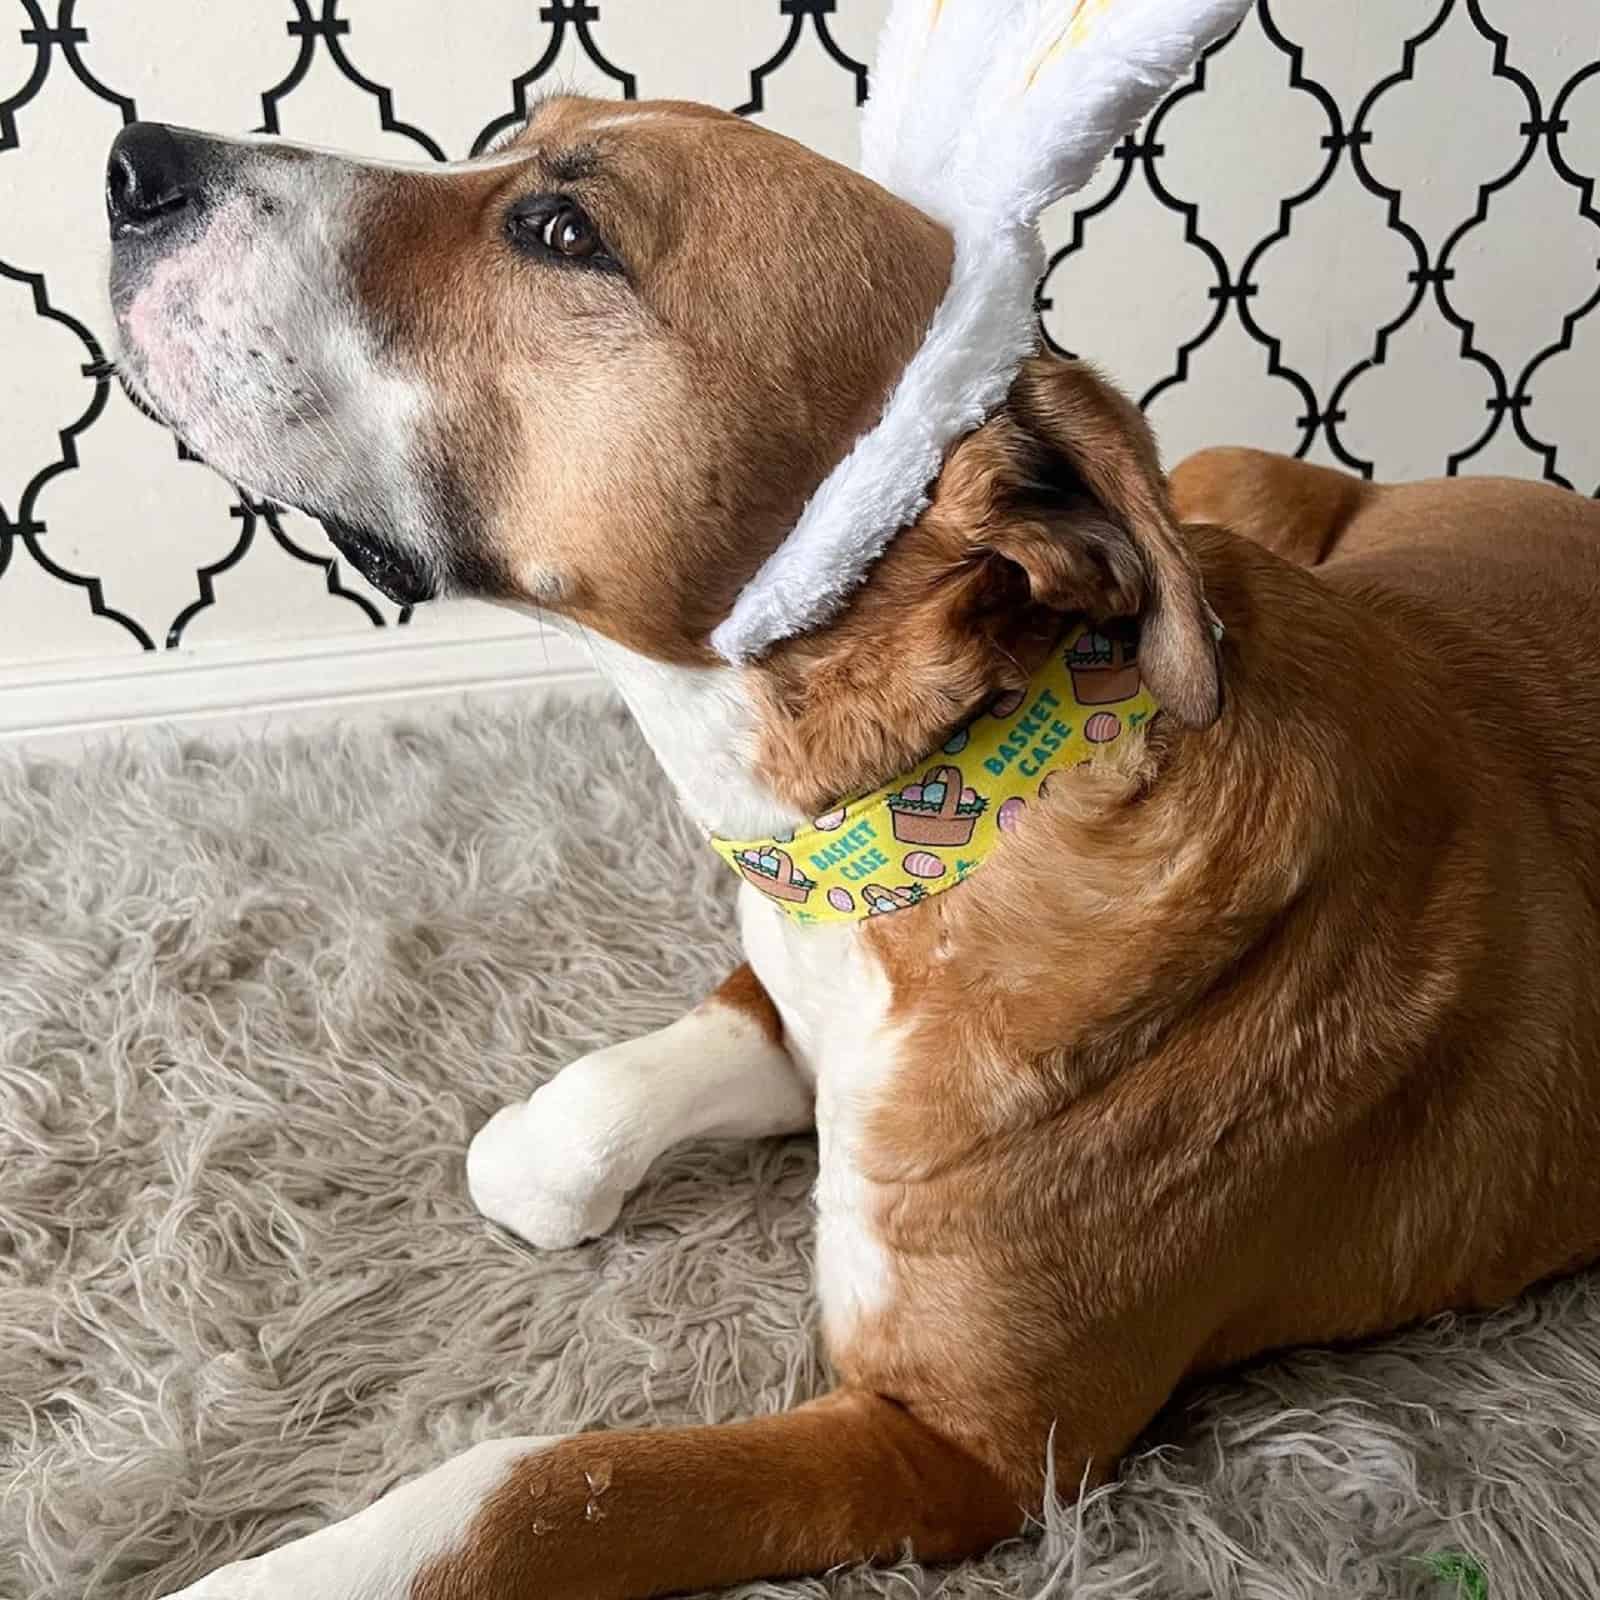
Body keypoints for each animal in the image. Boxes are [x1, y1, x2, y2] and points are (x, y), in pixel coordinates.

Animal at [103, 100, 1600, 1600]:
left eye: (563, 231)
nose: (129, 161)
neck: (955, 803)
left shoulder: (957, 1452)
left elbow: (535, 1491)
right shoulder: (794, 983)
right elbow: (598, 1100)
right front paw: (533, 1156)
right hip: (1225, 481)